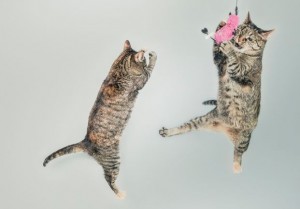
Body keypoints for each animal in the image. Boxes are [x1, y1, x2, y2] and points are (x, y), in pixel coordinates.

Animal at [44, 40, 158, 198]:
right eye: (144, 60)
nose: (145, 58)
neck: (117, 70)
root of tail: (85, 141)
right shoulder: (142, 79)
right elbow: (150, 69)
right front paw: (153, 55)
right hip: (113, 159)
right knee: (109, 178)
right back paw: (120, 194)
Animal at [161, 12, 274, 173]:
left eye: (249, 38)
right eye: (239, 32)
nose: (237, 40)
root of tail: (226, 131)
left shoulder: (238, 71)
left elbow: (234, 62)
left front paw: (228, 46)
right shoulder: (220, 65)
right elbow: (216, 52)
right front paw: (221, 26)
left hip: (244, 138)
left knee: (238, 153)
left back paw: (237, 168)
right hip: (201, 120)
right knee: (185, 127)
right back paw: (169, 131)